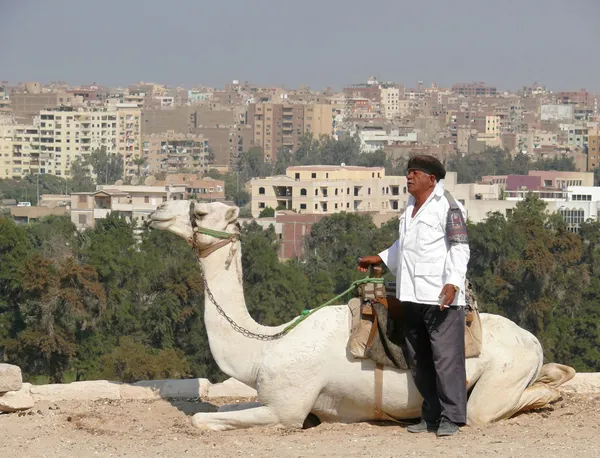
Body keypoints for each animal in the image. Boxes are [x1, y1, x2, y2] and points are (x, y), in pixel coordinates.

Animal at [150, 199, 576, 430]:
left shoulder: (287, 407)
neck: (265, 347)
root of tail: (532, 339)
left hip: (502, 376)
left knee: (493, 406)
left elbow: (200, 419)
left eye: (199, 211)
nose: (156, 211)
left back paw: (546, 397)